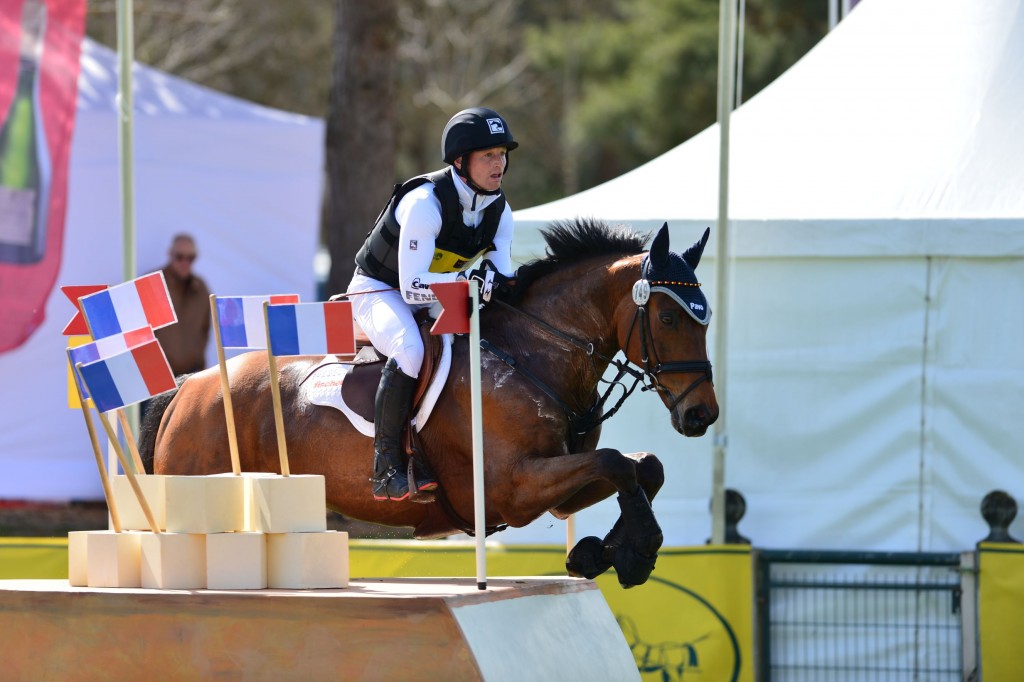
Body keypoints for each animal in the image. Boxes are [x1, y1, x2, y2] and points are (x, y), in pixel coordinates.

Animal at [142, 219, 720, 585]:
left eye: (705, 317)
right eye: (668, 317)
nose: (702, 414)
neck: (532, 353)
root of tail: (189, 386)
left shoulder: (557, 486)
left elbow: (643, 466)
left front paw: (602, 552)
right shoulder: (513, 486)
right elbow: (618, 462)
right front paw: (634, 553)